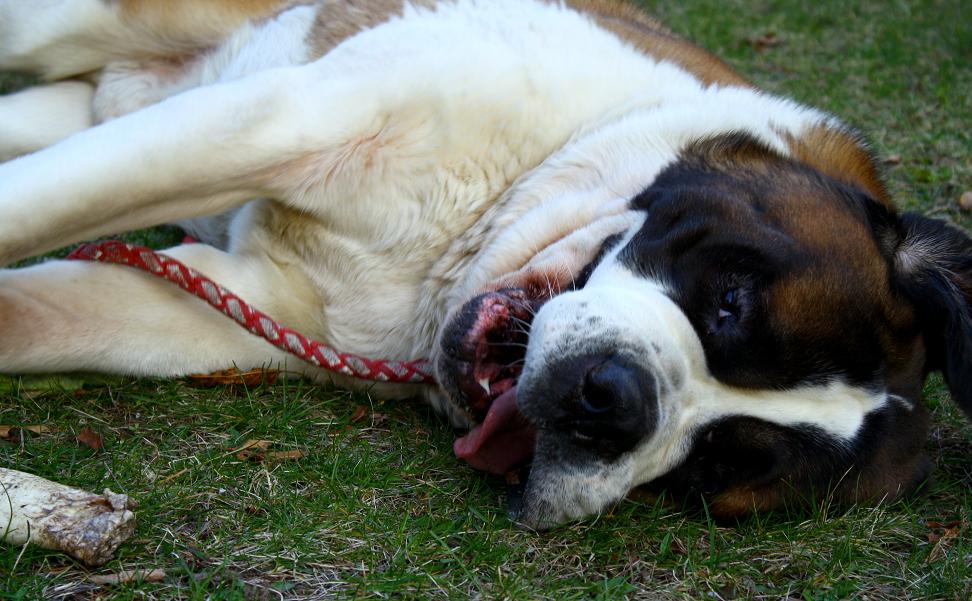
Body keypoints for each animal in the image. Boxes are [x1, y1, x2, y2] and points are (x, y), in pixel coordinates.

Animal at [1, 0, 972, 528]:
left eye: (717, 466)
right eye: (730, 301)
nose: (617, 403)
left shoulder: (233, 303)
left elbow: (46, 308)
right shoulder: (290, 118)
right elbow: (42, 203)